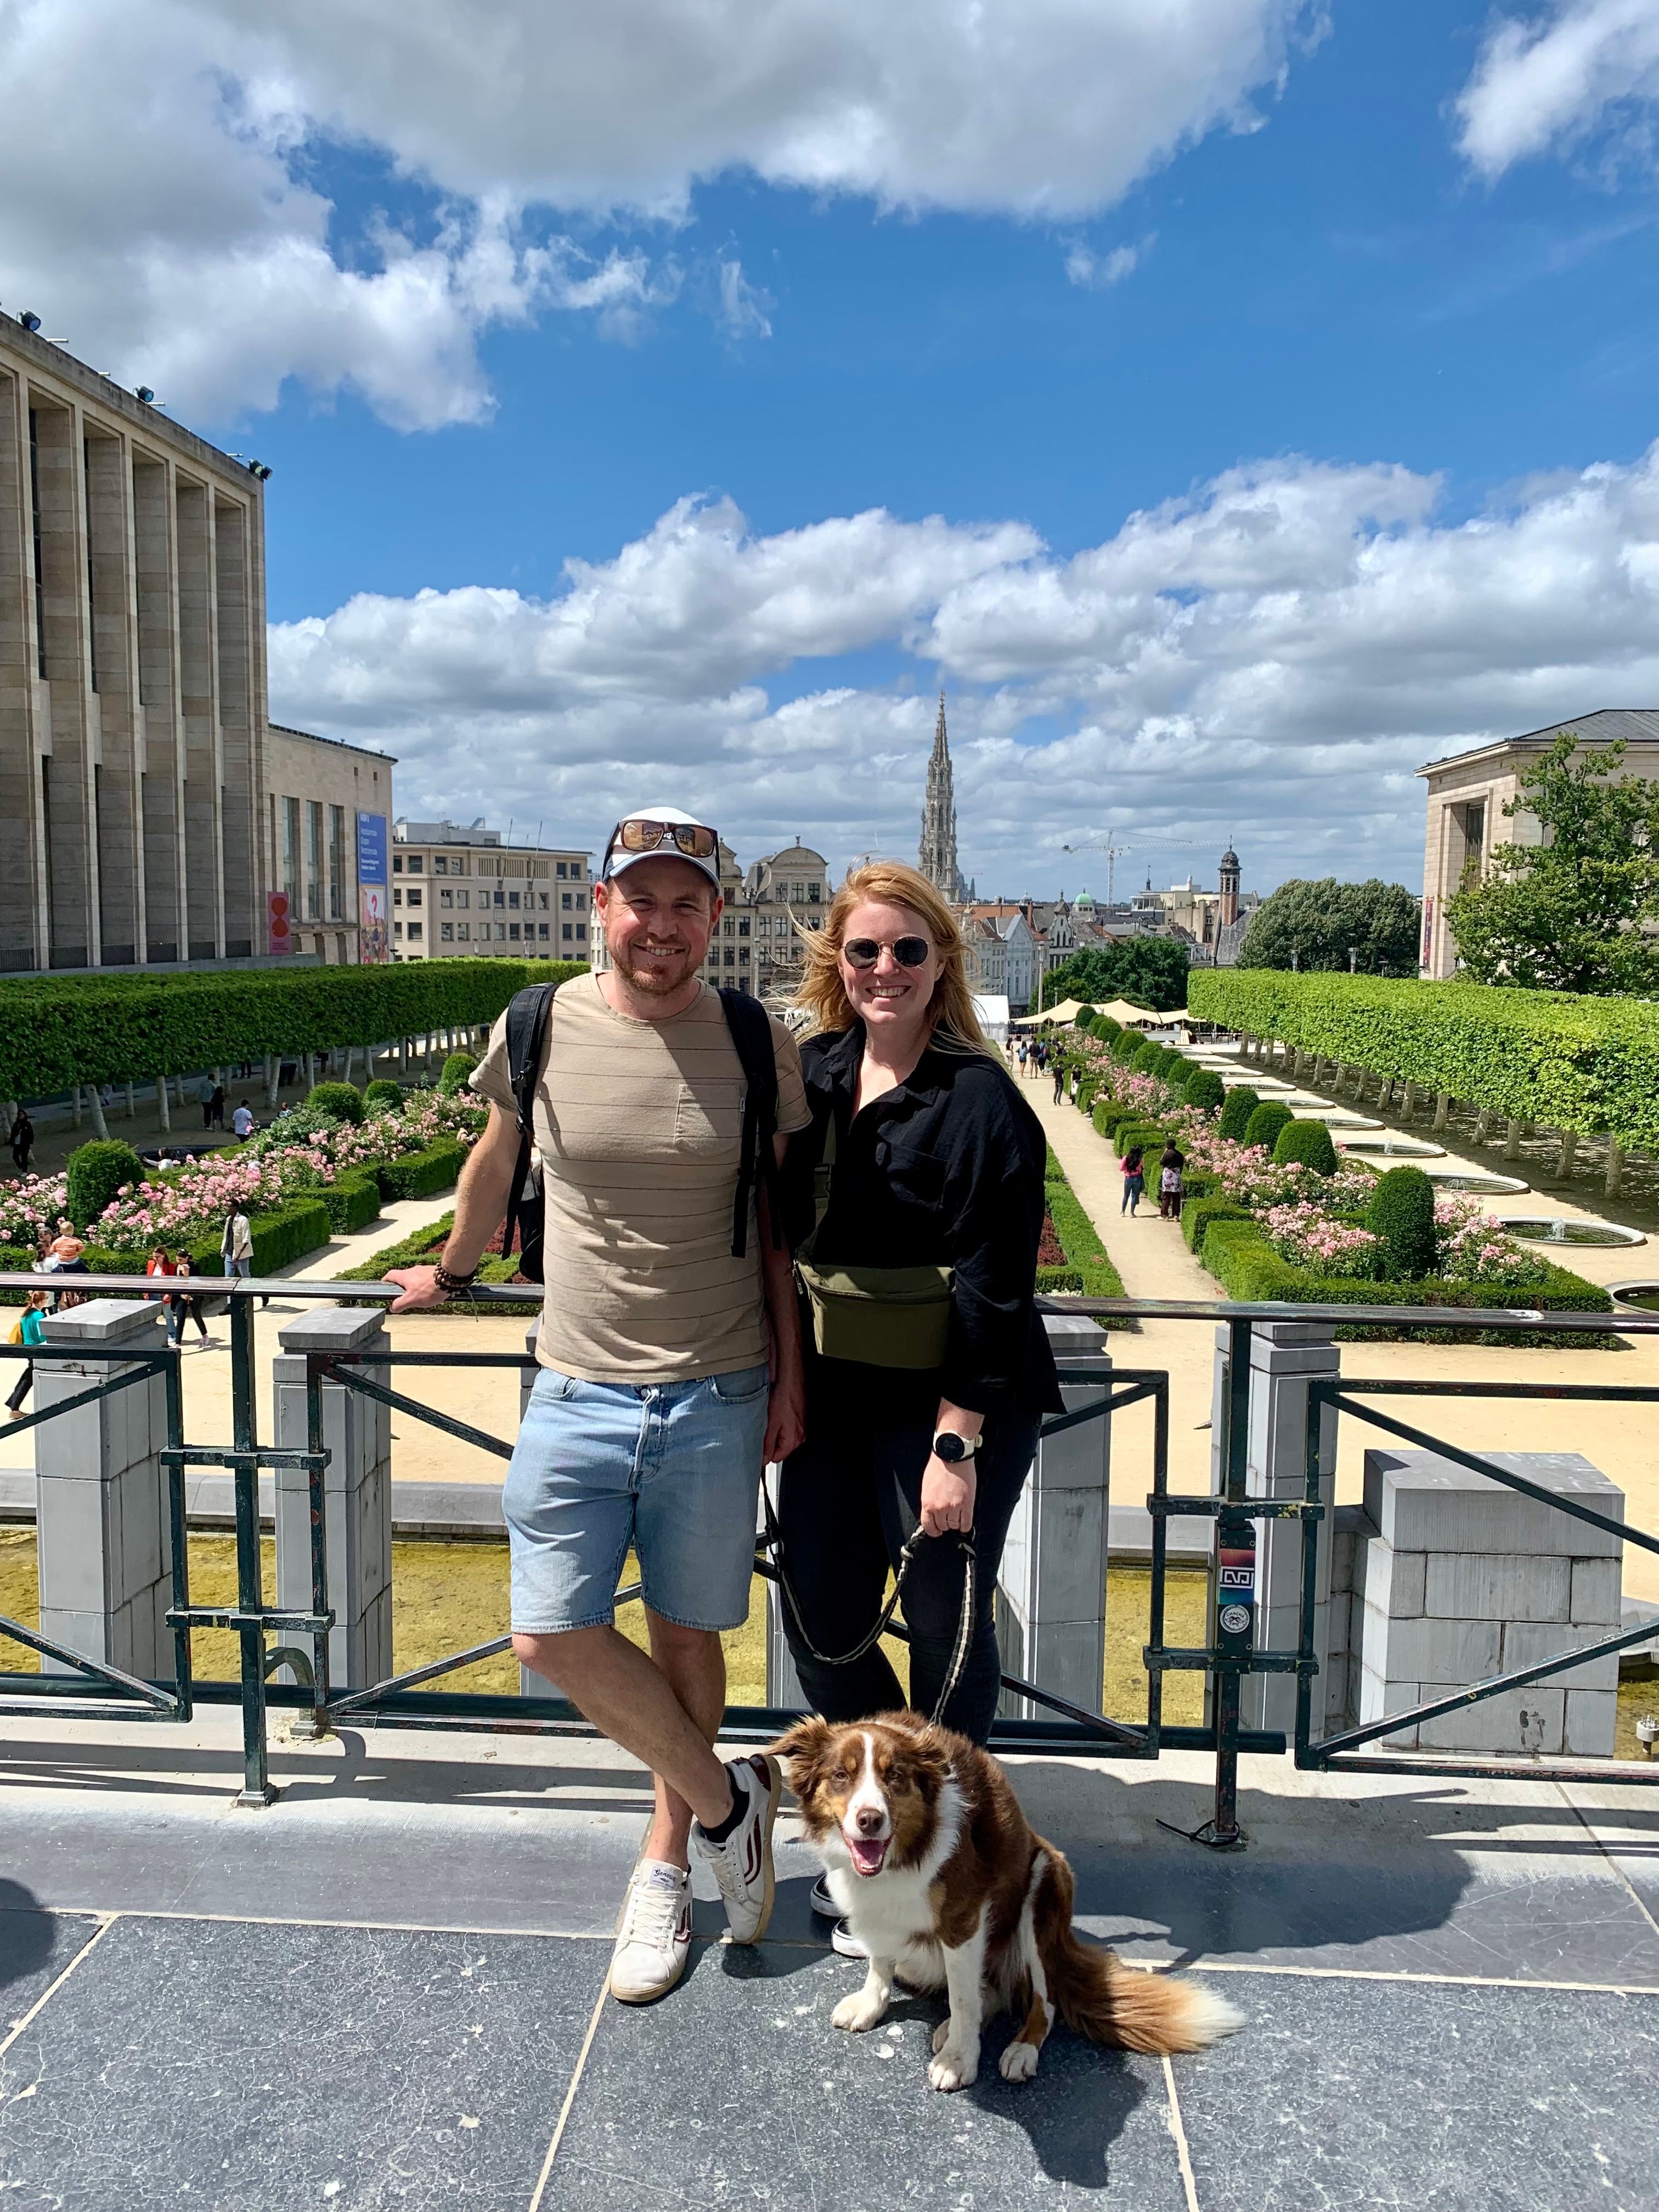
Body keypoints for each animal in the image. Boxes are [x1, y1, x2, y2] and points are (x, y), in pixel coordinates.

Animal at [775, 1711, 1242, 2092]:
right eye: (841, 1775)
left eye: (895, 1777)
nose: (869, 1820)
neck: (905, 1853)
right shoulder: (879, 1911)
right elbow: (881, 1960)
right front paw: (871, 2005)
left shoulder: (963, 1919)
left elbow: (964, 1998)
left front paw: (959, 2060)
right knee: (992, 1993)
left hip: (1042, 1890)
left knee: (1042, 2003)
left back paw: (1018, 2050)